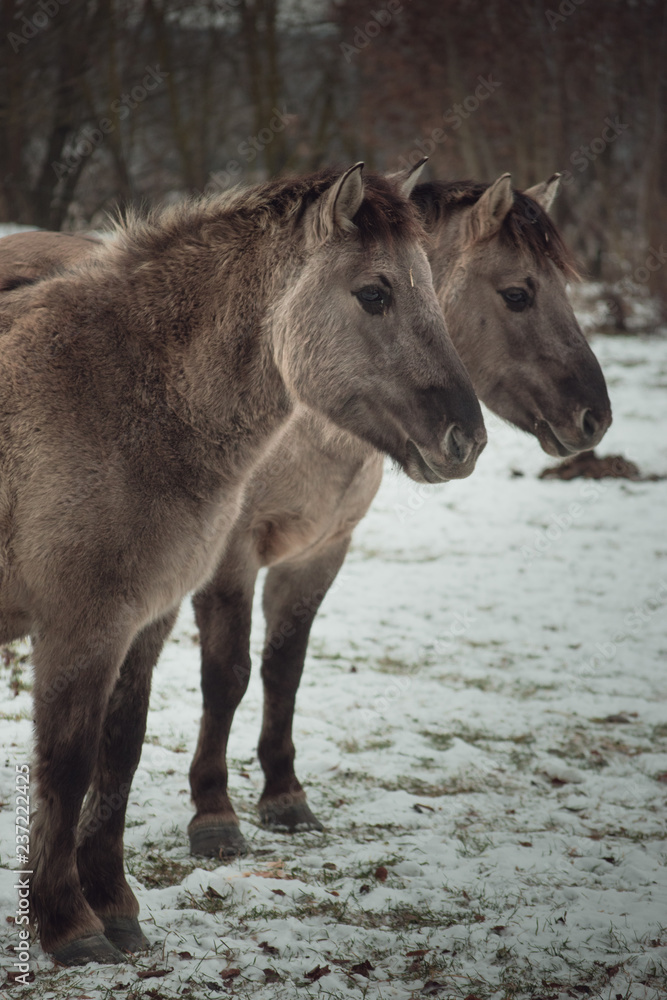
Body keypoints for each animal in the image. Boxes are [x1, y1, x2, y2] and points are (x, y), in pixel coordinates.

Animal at [0, 164, 486, 965]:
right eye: (374, 293)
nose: (465, 438)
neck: (110, 392)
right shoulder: (81, 628)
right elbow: (65, 768)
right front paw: (70, 927)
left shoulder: (146, 622)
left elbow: (118, 756)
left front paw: (117, 909)